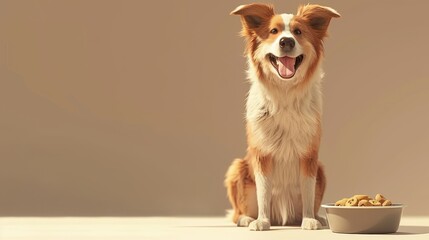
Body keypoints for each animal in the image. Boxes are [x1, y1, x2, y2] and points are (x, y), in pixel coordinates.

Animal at [224, 2, 338, 231]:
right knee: (237, 212)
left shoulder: (310, 156)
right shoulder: (262, 154)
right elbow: (264, 191)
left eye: (298, 32)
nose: (286, 41)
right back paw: (246, 218)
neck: (285, 94)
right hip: (237, 168)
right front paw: (262, 221)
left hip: (321, 170)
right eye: (273, 31)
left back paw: (318, 217)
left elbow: (308, 190)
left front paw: (309, 219)